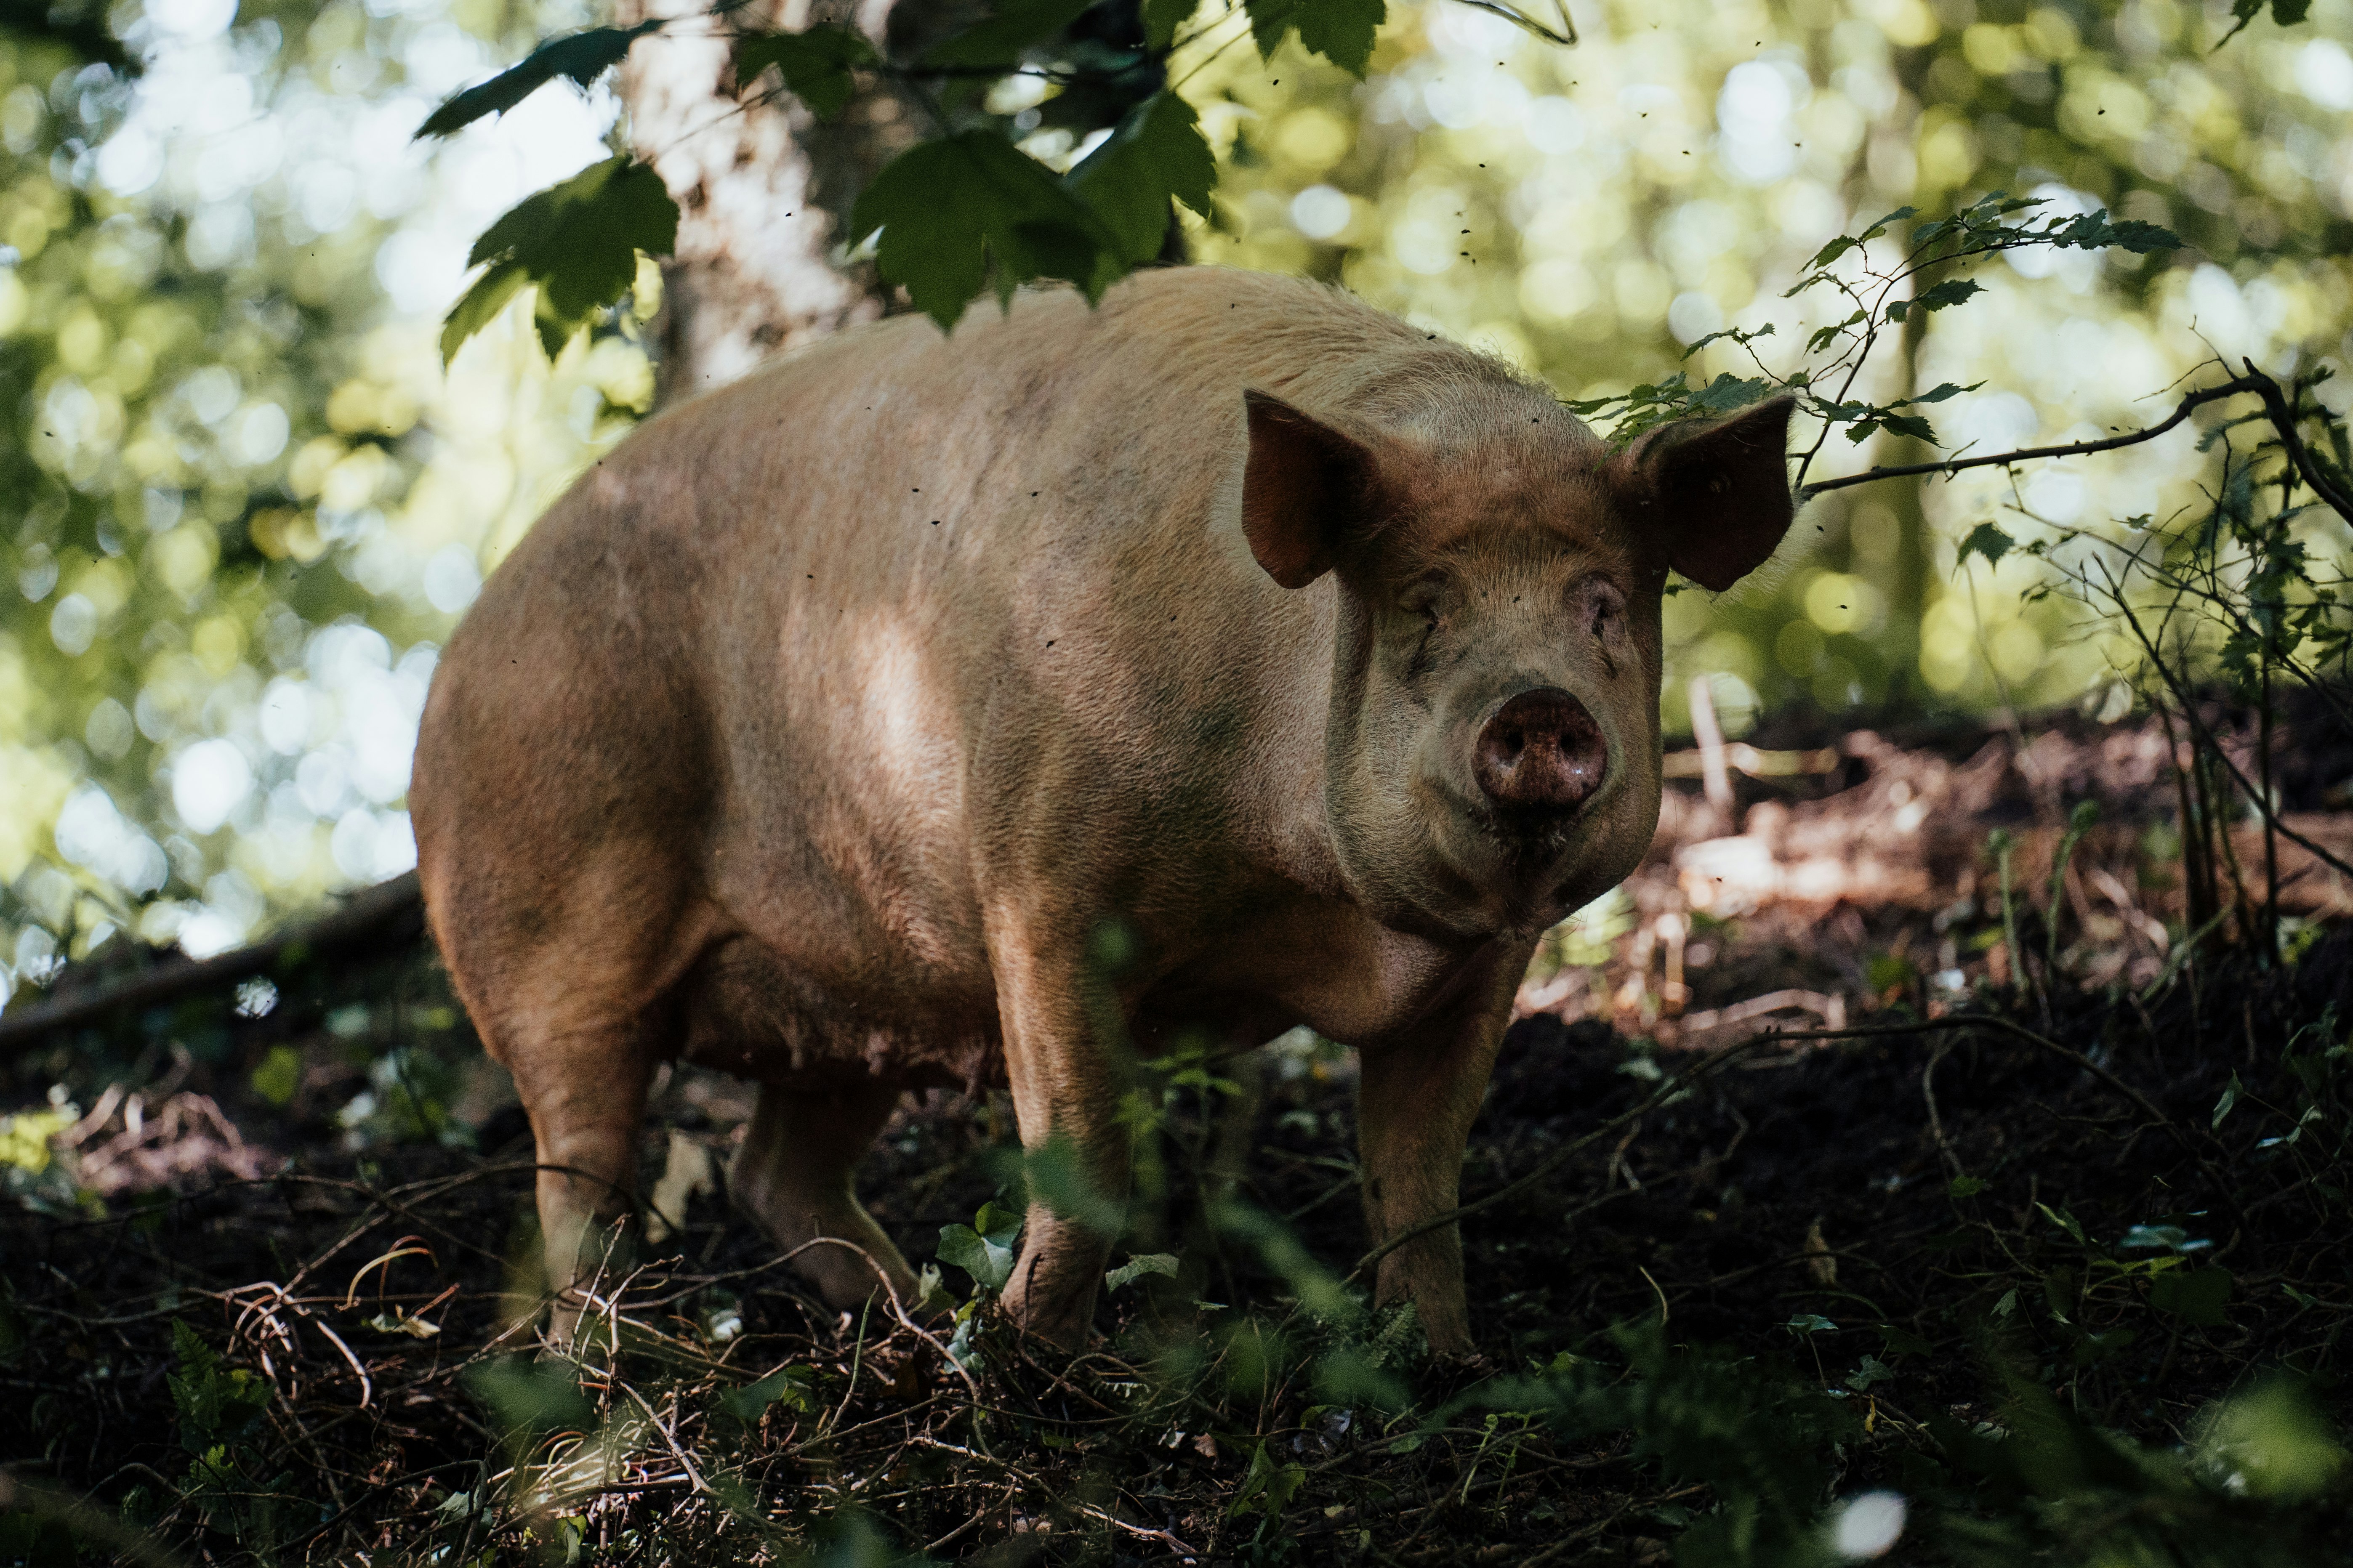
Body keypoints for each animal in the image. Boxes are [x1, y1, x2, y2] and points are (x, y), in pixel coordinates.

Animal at [409, 263, 1797, 1354]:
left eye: (1601, 605)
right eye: (1424, 606)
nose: (1540, 707)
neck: (1328, 907)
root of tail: (456, 654)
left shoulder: (1479, 966)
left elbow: (1419, 1179)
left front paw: (1445, 1366)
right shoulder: (1039, 883)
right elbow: (1089, 1153)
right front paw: (1049, 1361)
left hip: (859, 987)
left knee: (773, 1172)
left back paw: (912, 1326)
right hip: (548, 918)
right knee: (578, 1166)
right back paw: (628, 1365)